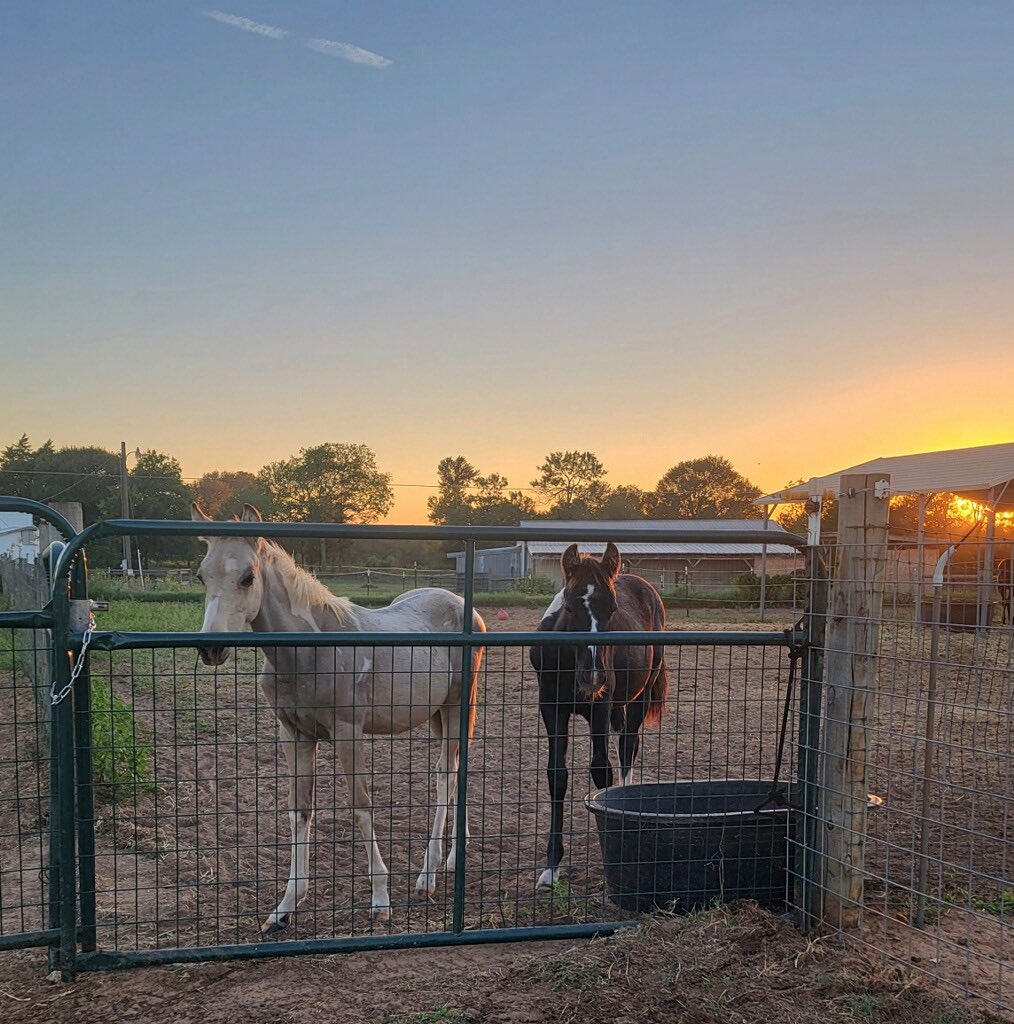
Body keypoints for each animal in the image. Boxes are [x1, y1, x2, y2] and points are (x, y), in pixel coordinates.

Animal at [191, 502, 486, 931]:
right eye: (201, 575)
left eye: (248, 577)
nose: (210, 649)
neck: (309, 652)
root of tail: (467, 608)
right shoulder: (294, 734)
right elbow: (299, 811)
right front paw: (285, 906)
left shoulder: (349, 732)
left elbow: (360, 804)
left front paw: (380, 899)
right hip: (435, 714)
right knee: (454, 770)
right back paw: (451, 859)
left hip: (458, 705)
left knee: (446, 774)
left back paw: (427, 876)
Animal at [529, 542, 668, 890]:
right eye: (570, 607)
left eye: (612, 609)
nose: (592, 675)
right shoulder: (551, 710)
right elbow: (557, 776)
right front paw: (551, 867)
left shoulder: (600, 710)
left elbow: (601, 770)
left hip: (640, 696)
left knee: (628, 748)